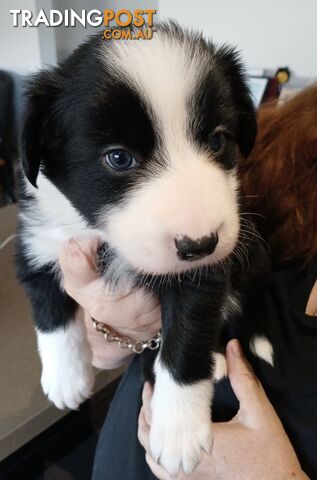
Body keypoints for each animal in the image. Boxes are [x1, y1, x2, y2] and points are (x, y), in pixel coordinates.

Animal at [16, 22, 272, 476]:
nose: (199, 244)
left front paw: (179, 430)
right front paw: (65, 376)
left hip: (252, 247)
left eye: (218, 139)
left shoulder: (205, 273)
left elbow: (186, 339)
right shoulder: (40, 238)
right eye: (118, 158)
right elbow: (47, 305)